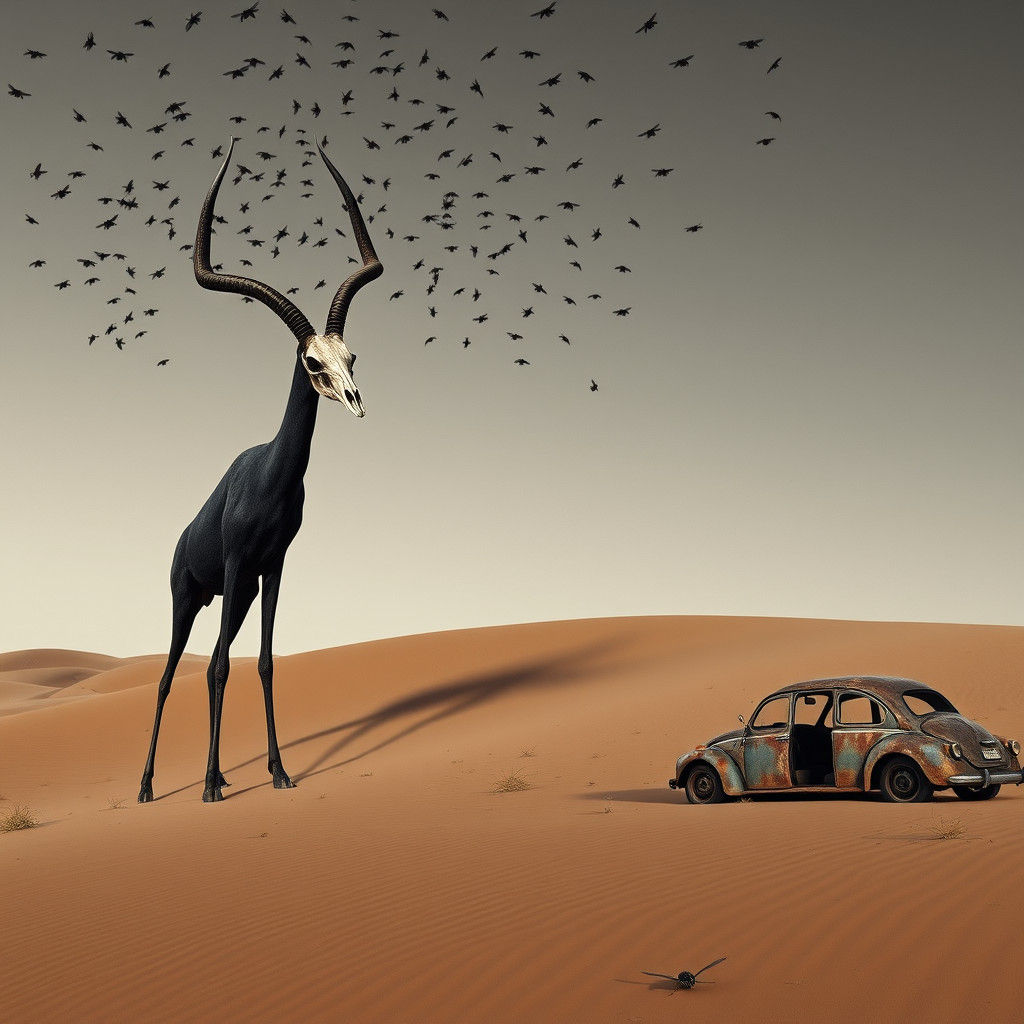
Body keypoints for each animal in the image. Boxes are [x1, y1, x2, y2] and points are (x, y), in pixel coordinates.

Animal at [138, 137, 383, 803]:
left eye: (350, 356)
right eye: (312, 362)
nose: (355, 401)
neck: (272, 477)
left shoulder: (270, 567)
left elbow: (267, 663)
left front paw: (278, 771)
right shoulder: (232, 562)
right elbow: (220, 668)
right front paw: (209, 787)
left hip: (238, 594)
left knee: (214, 661)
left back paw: (217, 773)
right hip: (190, 596)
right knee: (174, 674)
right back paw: (149, 787)